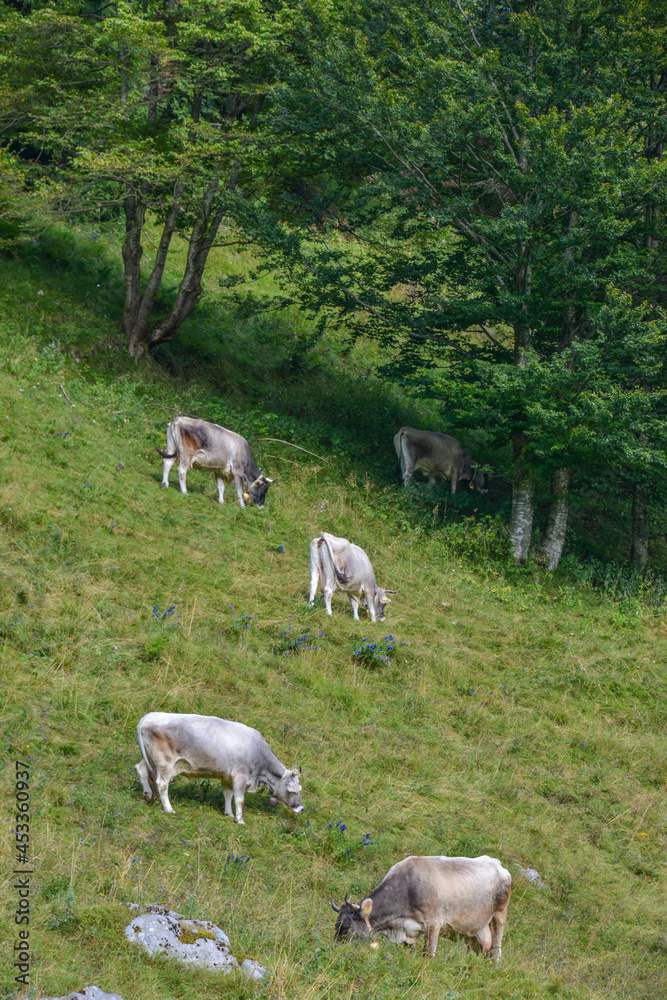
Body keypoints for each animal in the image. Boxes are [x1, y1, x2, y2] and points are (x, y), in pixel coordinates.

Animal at [135, 712, 303, 825]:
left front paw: (228, 813)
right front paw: (240, 820)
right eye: (293, 790)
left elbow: (228, 795)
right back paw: (168, 809)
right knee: (162, 784)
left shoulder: (227, 777)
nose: (301, 808)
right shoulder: (240, 775)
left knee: (141, 769)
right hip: (165, 762)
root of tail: (147, 718)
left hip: (150, 758)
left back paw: (147, 794)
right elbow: (239, 799)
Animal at [332, 855, 511, 963]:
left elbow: (427, 954)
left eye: (346, 927)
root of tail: (497, 863)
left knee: (496, 949)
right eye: (336, 925)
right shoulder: (408, 931)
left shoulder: (434, 923)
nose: (334, 950)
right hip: (473, 932)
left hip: (499, 916)